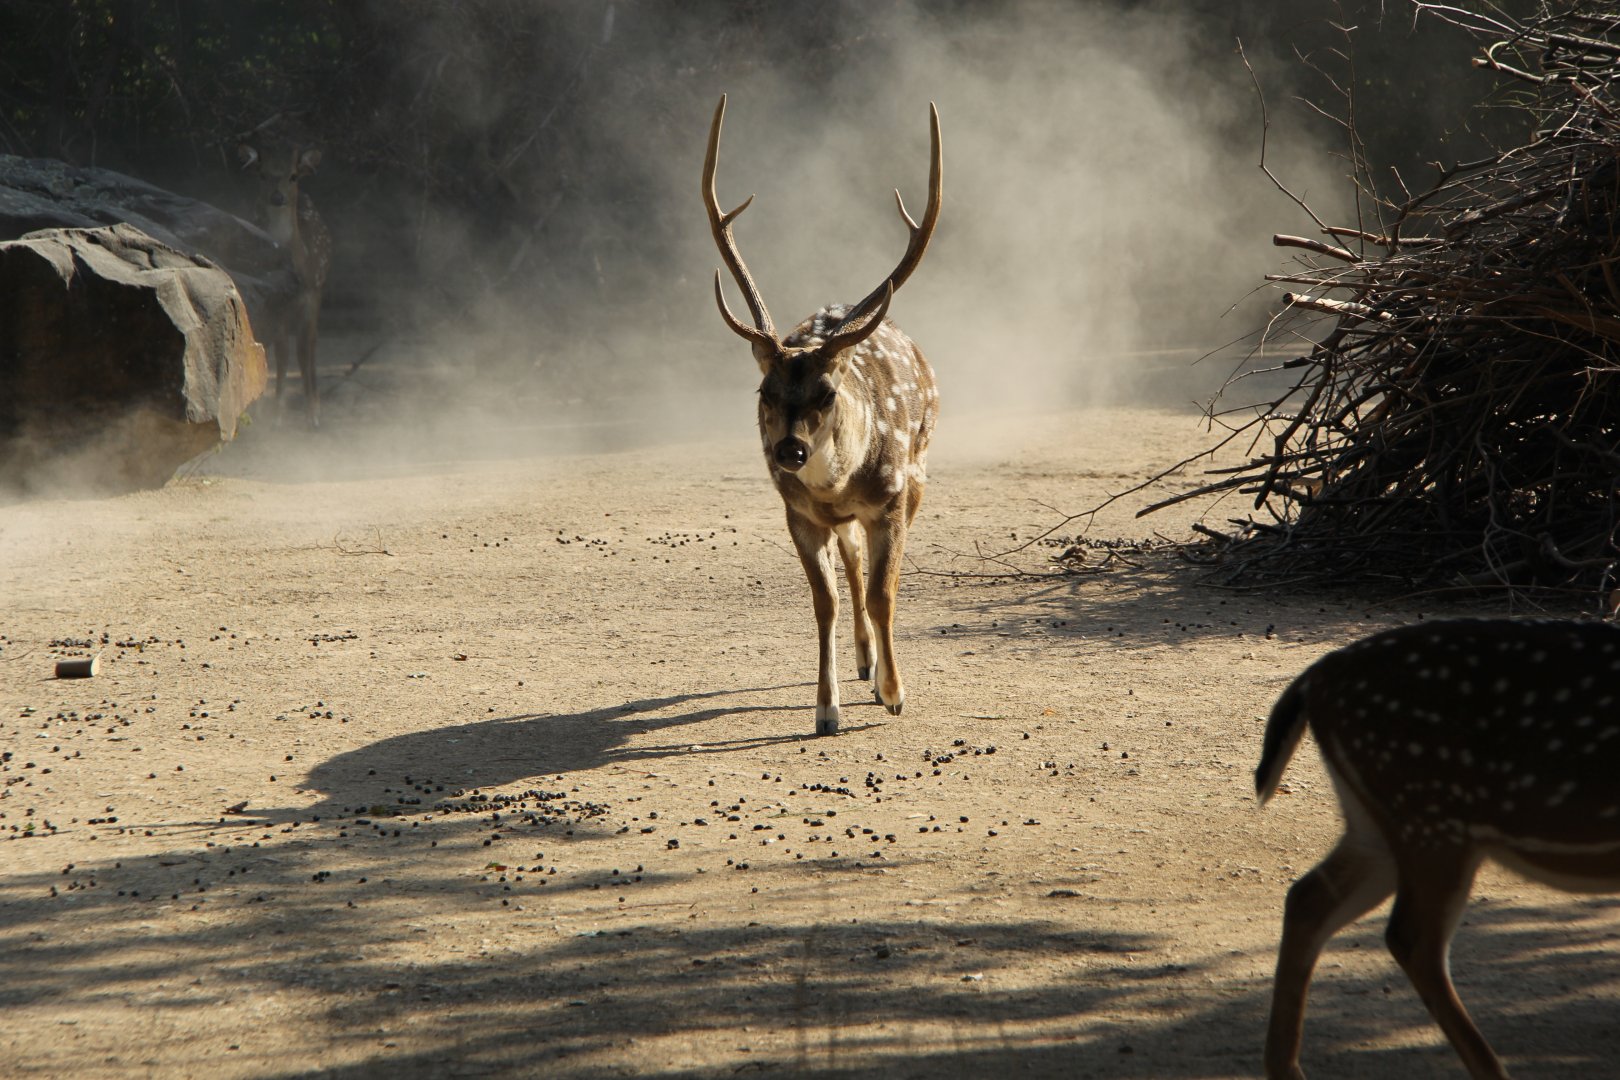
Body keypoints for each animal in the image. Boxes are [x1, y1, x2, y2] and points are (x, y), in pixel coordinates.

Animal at [238, 141, 332, 427]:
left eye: (293, 176)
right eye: (262, 174)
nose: (278, 197)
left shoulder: (312, 295)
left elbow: (303, 350)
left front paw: (313, 413)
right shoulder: (276, 299)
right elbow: (281, 353)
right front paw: (276, 413)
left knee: (310, 345)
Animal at [702, 94, 942, 736]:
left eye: (828, 392)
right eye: (763, 390)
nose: (790, 450)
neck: (838, 484)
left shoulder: (892, 499)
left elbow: (886, 593)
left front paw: (894, 693)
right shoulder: (799, 513)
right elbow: (825, 601)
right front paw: (826, 709)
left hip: (920, 471)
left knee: (871, 568)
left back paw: (876, 669)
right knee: (852, 559)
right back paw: (861, 659)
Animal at [1255, 618, 1620, 1079]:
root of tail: (1313, 679)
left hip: (1377, 825)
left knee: (1308, 898)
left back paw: (1287, 1068)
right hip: (1431, 817)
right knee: (1413, 939)